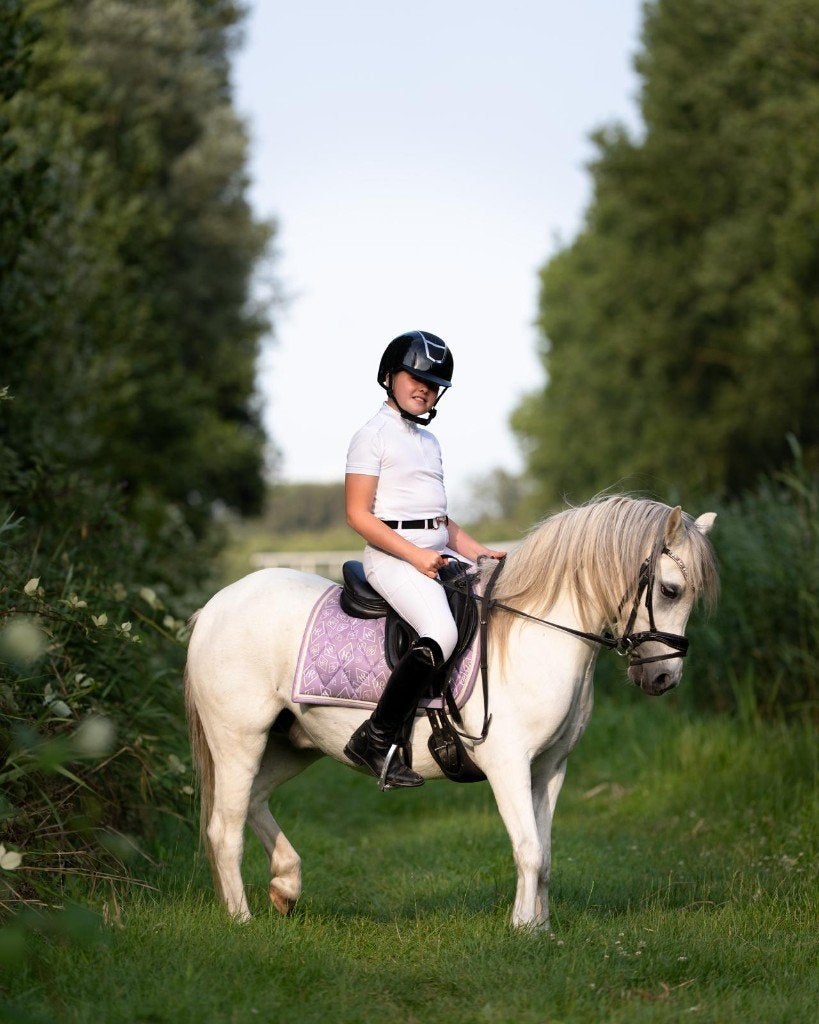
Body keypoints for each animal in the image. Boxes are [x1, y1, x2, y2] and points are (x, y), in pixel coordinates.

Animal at [184, 495, 718, 930]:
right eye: (671, 590)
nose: (663, 679)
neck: (538, 635)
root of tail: (217, 605)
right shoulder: (508, 764)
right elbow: (528, 850)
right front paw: (522, 931)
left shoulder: (550, 768)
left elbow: (545, 854)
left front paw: (541, 929)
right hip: (239, 739)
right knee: (225, 827)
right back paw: (242, 920)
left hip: (293, 744)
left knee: (253, 802)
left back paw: (286, 886)